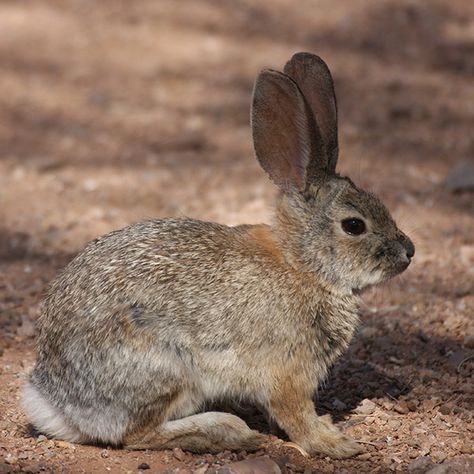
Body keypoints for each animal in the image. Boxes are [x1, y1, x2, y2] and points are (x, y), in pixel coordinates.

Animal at [23, 52, 414, 460]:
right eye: (354, 225)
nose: (409, 252)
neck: (303, 265)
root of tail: (57, 403)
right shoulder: (287, 373)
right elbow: (296, 416)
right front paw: (335, 443)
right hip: (163, 367)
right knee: (137, 434)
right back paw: (227, 432)